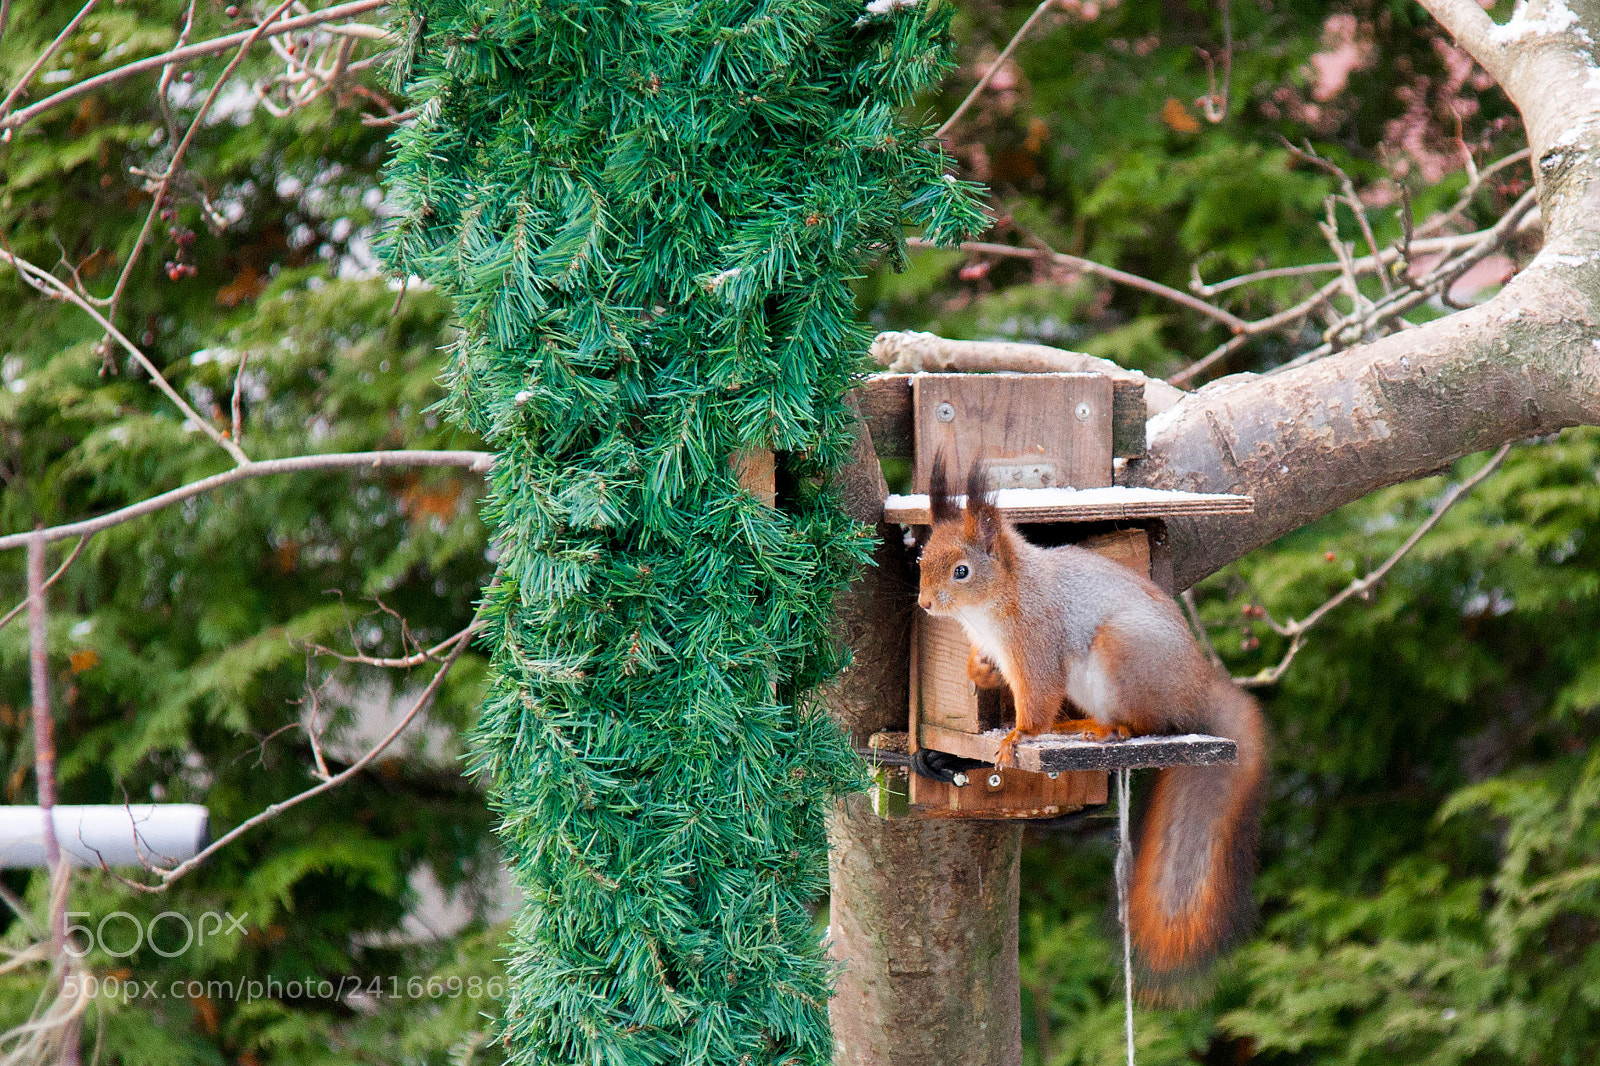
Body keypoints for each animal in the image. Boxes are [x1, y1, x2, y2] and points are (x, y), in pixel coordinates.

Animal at [915, 456, 1267, 987]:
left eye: (961, 571)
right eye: (920, 559)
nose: (925, 604)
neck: (996, 602)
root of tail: (1196, 690)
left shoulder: (1036, 642)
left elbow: (1037, 698)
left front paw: (1018, 735)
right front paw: (980, 671)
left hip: (1122, 653)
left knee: (1150, 723)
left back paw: (1109, 729)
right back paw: (1072, 728)